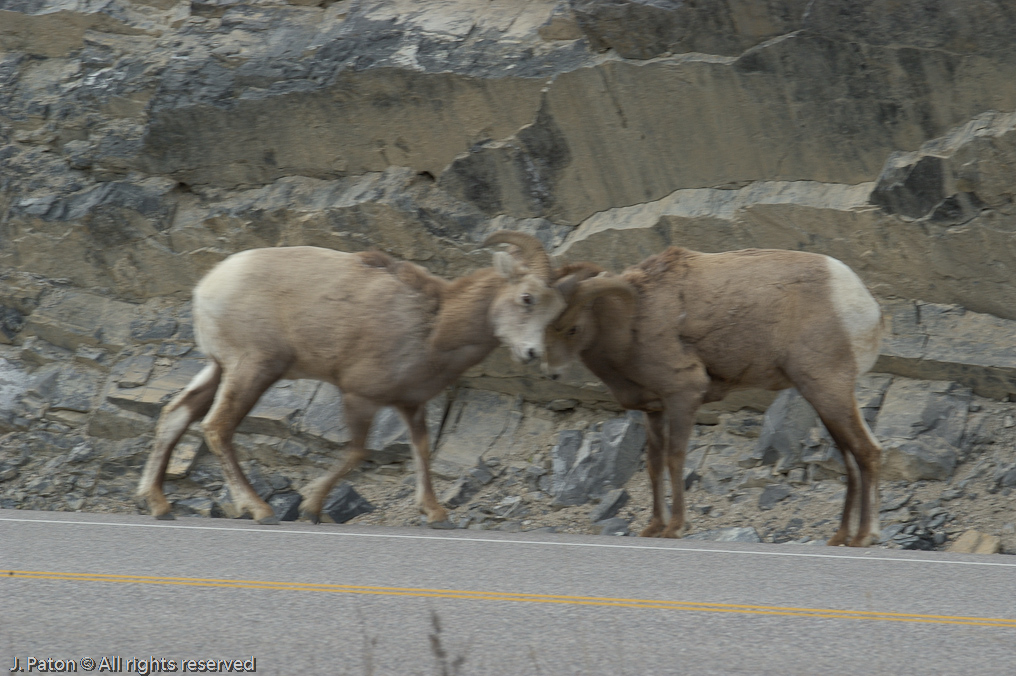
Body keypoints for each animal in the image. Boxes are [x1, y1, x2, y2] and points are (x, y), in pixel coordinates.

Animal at [136, 233, 568, 528]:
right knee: (217, 426)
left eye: (555, 312)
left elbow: (421, 452)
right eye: (527, 298)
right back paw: (259, 509)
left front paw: (436, 513)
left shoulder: (411, 403)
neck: (434, 325)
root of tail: (207, 287)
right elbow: (356, 453)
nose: (535, 356)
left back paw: (158, 504)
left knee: (175, 415)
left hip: (218, 367)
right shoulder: (359, 396)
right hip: (253, 367)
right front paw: (311, 508)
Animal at [544, 248, 885, 548]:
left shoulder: (684, 396)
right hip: (824, 400)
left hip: (828, 390)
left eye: (572, 329)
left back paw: (864, 537)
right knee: (851, 458)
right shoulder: (654, 410)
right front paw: (653, 528)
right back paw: (841, 537)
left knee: (866, 452)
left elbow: (675, 458)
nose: (549, 371)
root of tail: (863, 303)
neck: (633, 322)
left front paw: (675, 528)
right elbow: (654, 465)